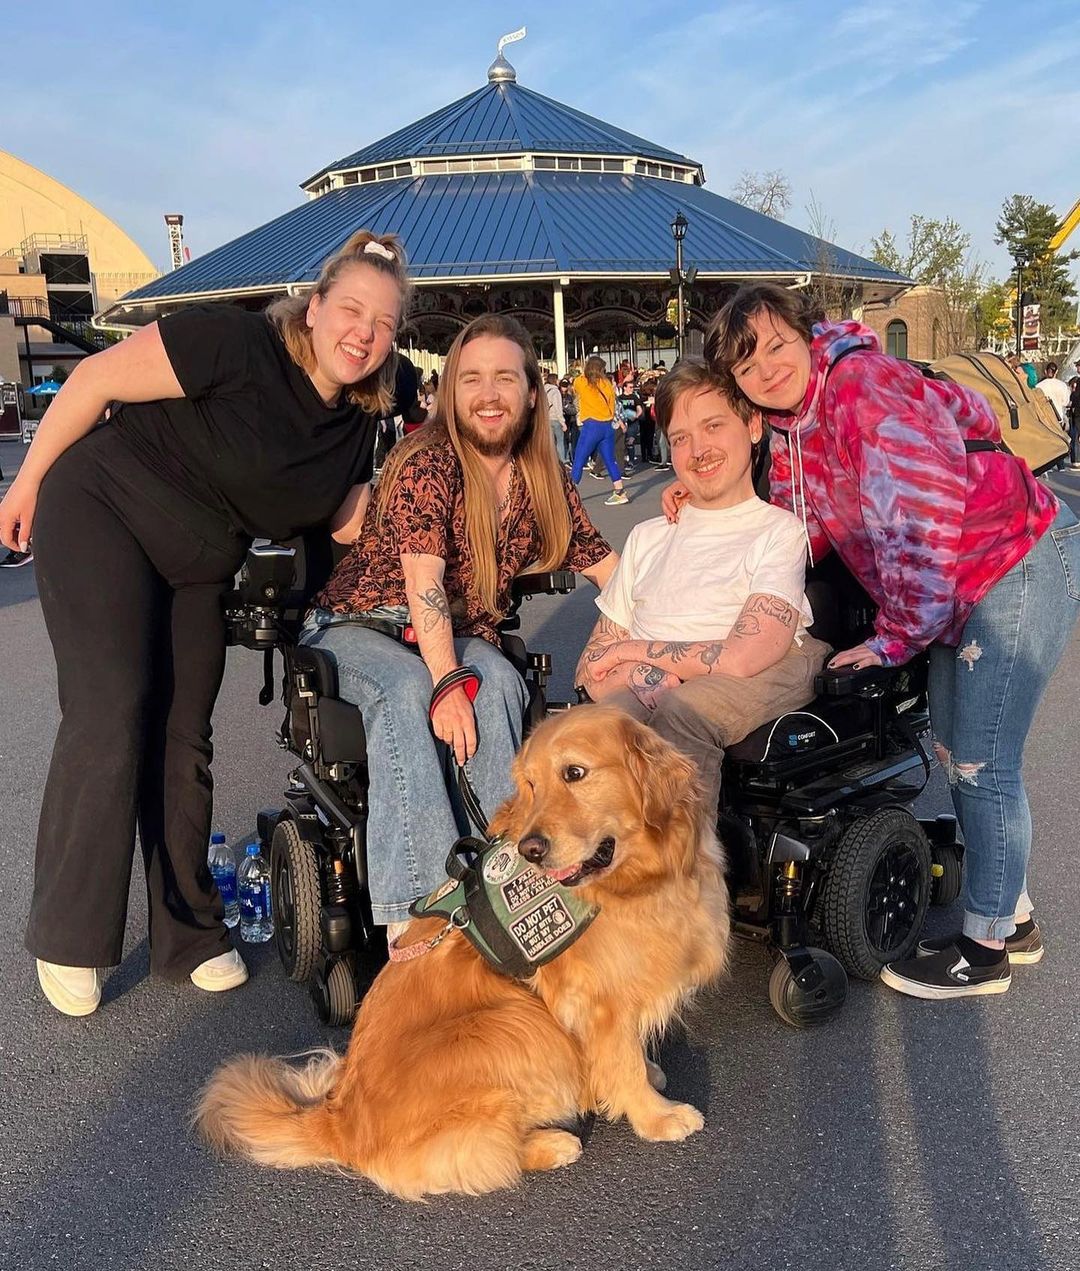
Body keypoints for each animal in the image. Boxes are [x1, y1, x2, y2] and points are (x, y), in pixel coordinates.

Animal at [195, 705, 730, 1199]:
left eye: (574, 774)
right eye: (530, 784)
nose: (531, 849)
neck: (642, 878)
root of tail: (339, 1119)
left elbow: (628, 1051)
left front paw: (646, 1076)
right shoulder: (595, 998)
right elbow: (622, 1059)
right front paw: (655, 1115)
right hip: (514, 1022)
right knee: (481, 1150)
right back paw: (551, 1143)